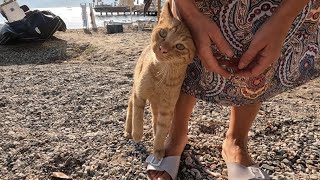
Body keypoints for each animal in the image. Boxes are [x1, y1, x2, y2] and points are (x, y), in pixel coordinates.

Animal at [124, 0, 195, 160]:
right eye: (163, 33)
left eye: (179, 46)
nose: (163, 49)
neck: (161, 76)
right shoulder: (140, 95)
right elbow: (138, 116)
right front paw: (137, 134)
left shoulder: (167, 109)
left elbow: (162, 130)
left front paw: (158, 148)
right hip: (135, 89)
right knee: (130, 106)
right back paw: (128, 131)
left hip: (156, 105)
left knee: (154, 118)